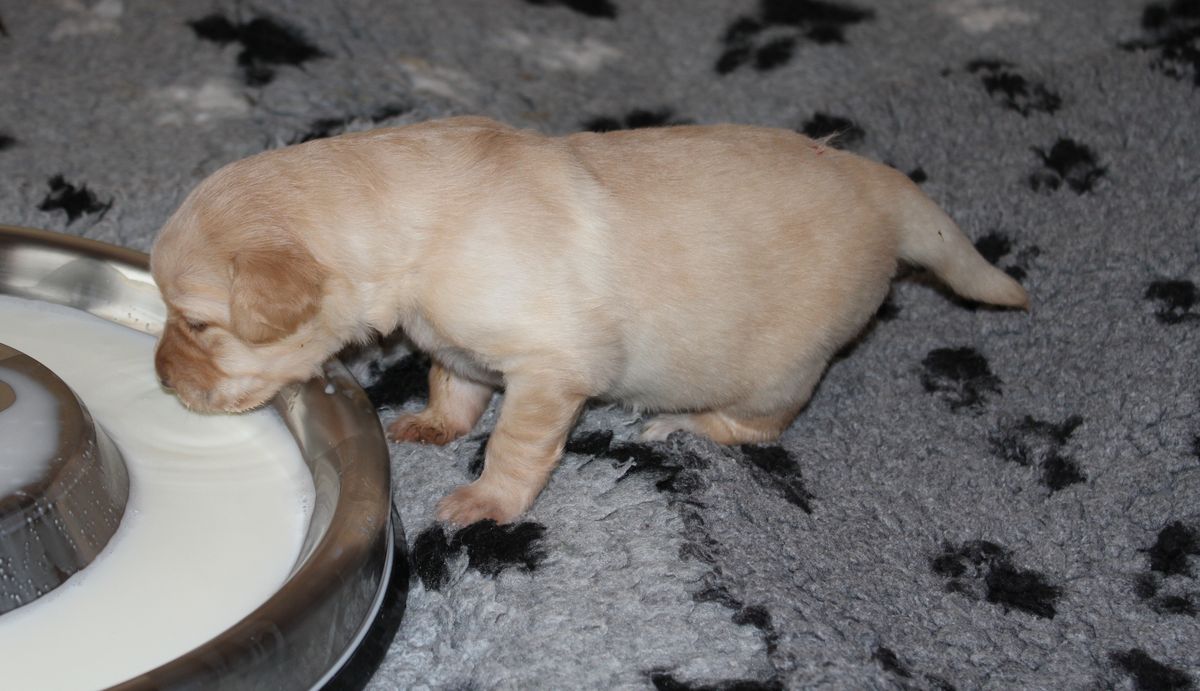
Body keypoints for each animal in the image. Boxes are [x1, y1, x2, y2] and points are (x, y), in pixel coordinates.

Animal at [151, 116, 1028, 525]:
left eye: (195, 323)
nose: (159, 380)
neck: (405, 233)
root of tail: (883, 185)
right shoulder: (459, 347)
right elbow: (453, 382)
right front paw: (435, 423)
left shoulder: (551, 368)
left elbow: (514, 443)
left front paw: (486, 502)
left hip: (779, 368)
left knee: (756, 425)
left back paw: (676, 425)